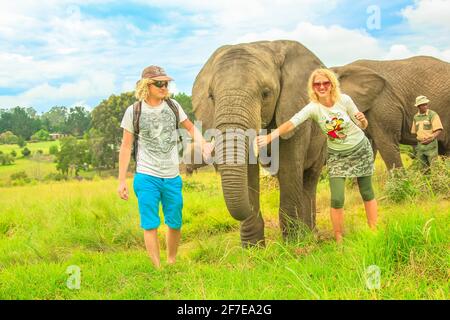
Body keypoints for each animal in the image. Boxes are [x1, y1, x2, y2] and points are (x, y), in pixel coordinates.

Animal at [192, 38, 326, 246]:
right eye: (211, 97)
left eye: (266, 94)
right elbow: (248, 171)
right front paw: (253, 249)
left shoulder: (295, 108)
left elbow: (289, 168)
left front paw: (293, 246)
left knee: (309, 179)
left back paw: (310, 236)